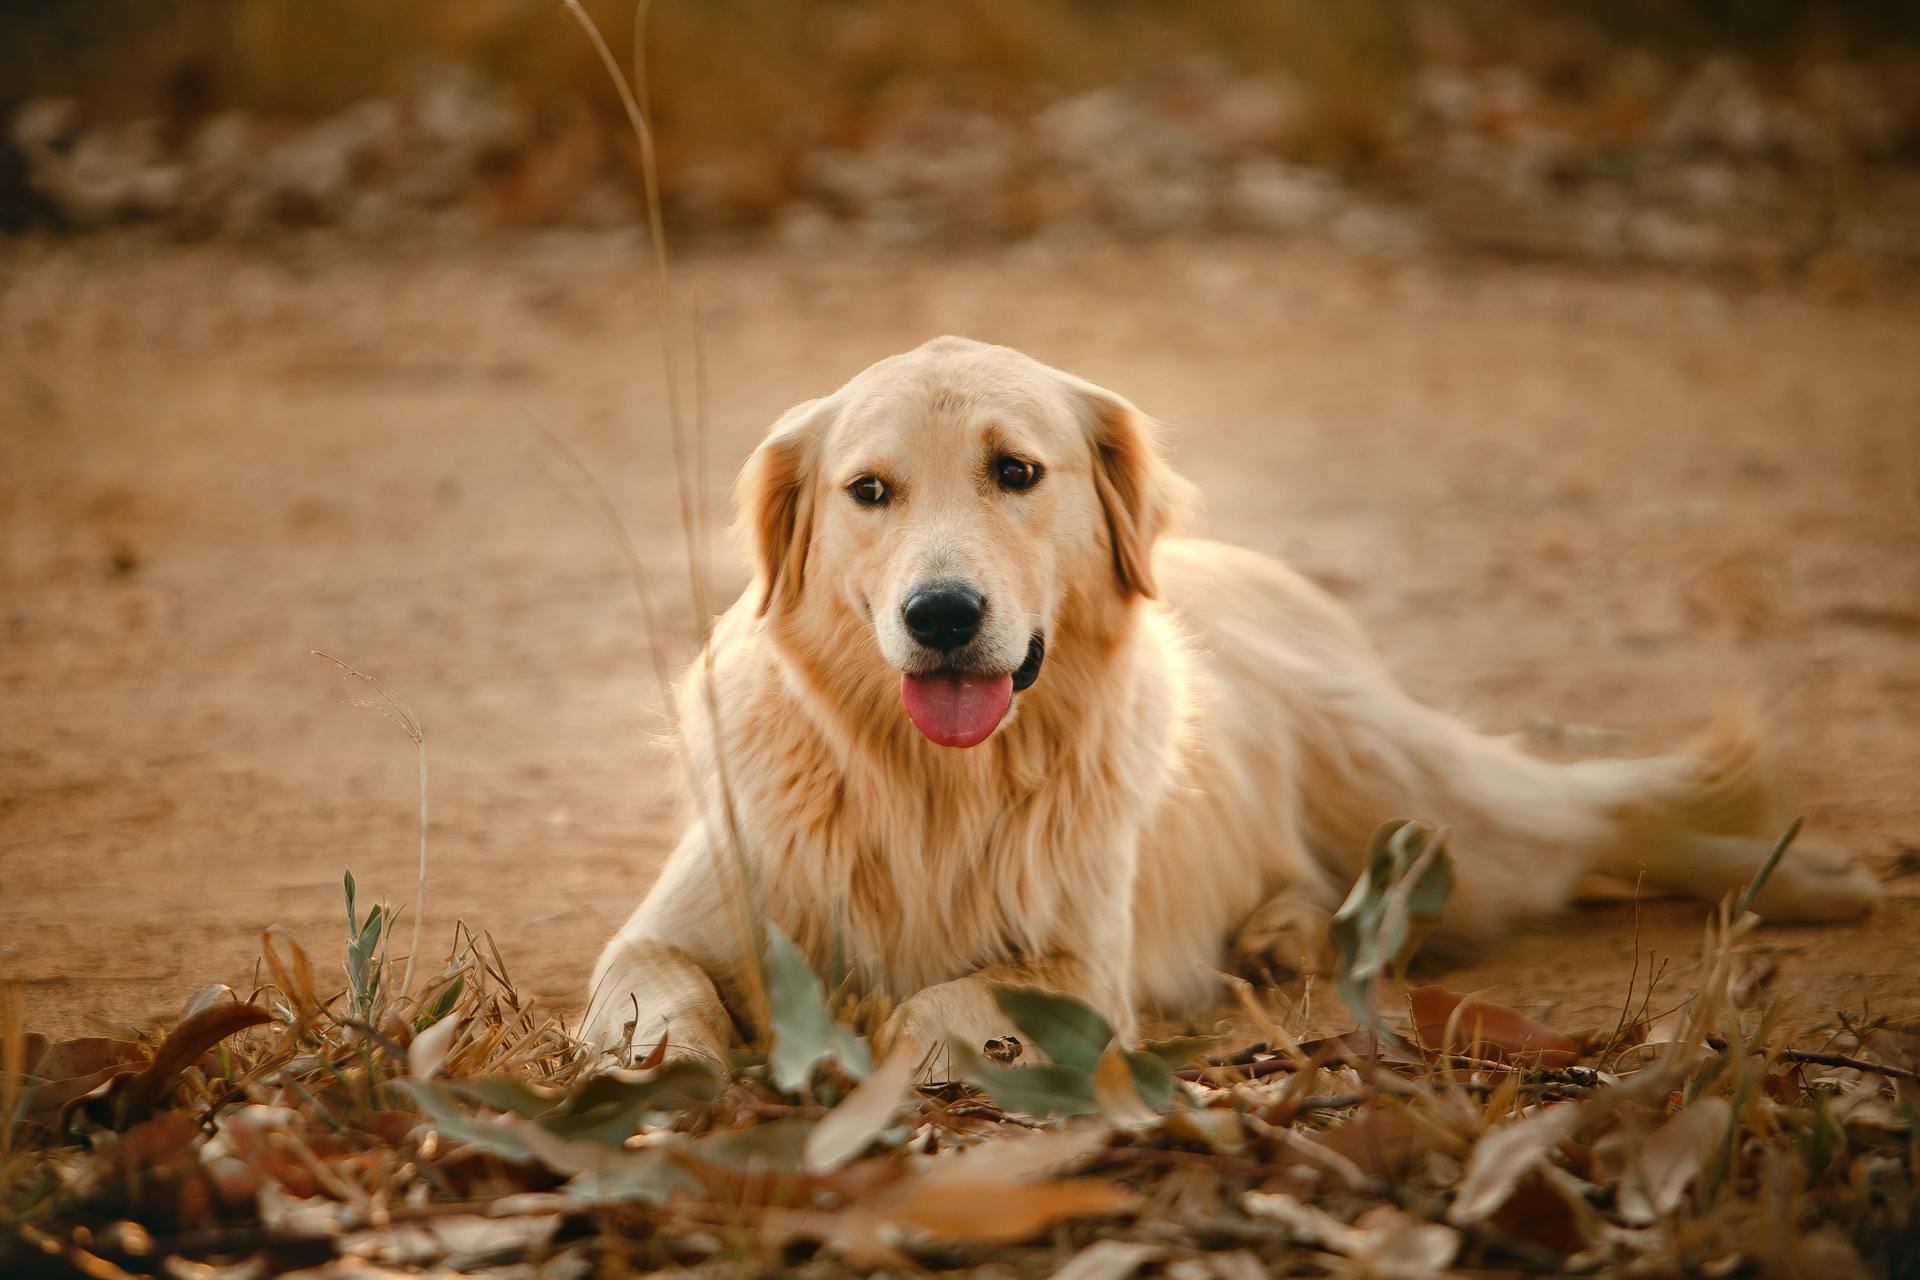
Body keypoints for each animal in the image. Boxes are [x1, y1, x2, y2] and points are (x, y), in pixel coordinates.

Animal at [579, 335, 1873, 1066]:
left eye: (1016, 471)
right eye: (869, 490)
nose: (941, 614)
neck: (927, 781)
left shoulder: (1082, 968)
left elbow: (943, 999)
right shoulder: (687, 910)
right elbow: (647, 984)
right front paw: (658, 1062)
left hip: (1421, 793)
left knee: (1589, 812)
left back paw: (1810, 875)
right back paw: (1284, 928)